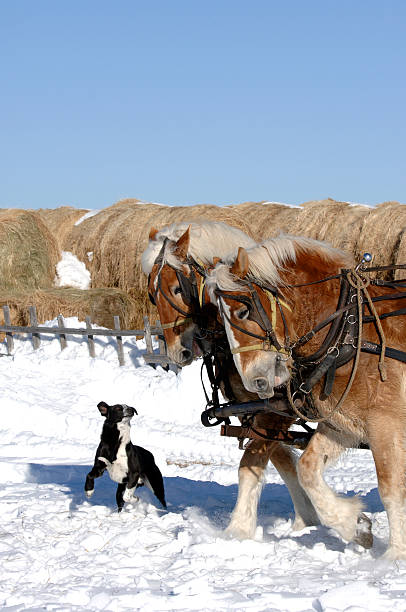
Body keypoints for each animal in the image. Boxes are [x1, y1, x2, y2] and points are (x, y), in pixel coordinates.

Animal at [141, 222, 322, 536]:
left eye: (177, 288)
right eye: (152, 294)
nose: (177, 353)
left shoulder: (279, 408)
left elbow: (255, 460)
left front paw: (240, 529)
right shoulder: (251, 411)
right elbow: (282, 461)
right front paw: (306, 519)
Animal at [206, 234, 406, 560]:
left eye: (243, 311)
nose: (256, 381)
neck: (351, 331)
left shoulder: (386, 424)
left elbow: (391, 489)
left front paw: (395, 556)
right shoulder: (343, 425)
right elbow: (307, 468)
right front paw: (354, 524)